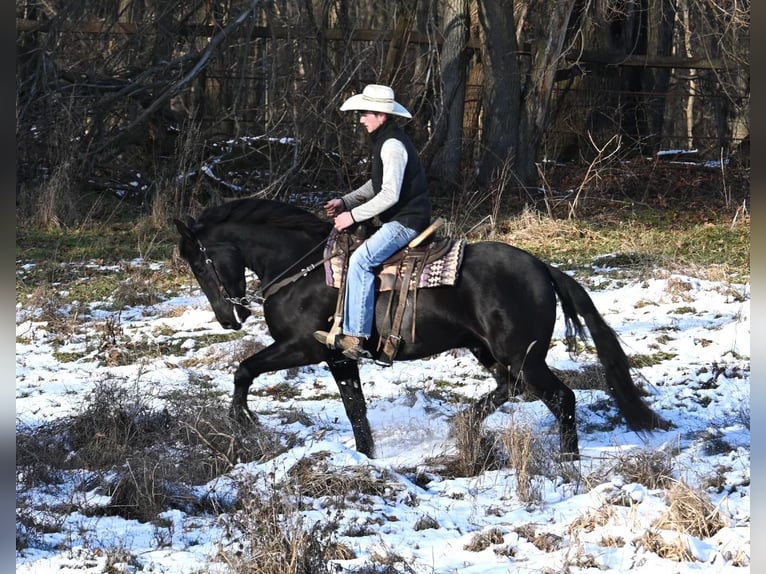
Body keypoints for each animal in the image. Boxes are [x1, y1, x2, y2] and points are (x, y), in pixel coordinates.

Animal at [172, 200, 664, 462]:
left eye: (199, 262)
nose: (228, 318)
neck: (304, 270)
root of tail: (544, 268)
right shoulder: (338, 358)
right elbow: (355, 409)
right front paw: (366, 457)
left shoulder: (300, 348)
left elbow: (244, 369)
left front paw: (241, 419)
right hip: (489, 351)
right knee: (511, 388)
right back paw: (464, 424)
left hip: (522, 354)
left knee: (560, 398)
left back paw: (567, 460)